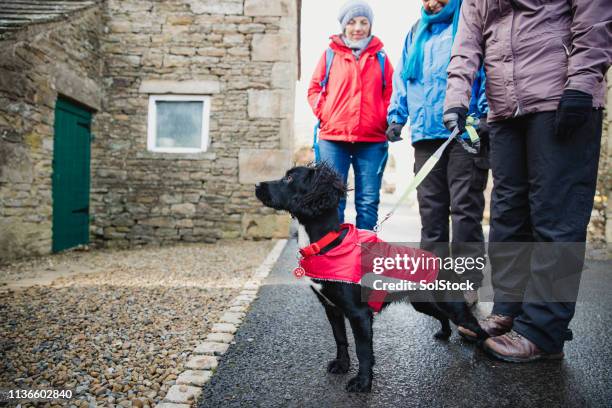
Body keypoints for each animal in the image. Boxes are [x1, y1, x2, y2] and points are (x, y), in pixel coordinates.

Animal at [255, 162, 488, 392]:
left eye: (289, 178)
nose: (256, 184)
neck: (328, 244)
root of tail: (442, 260)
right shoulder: (331, 307)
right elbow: (340, 338)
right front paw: (342, 365)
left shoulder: (359, 313)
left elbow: (363, 350)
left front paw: (363, 382)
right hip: (422, 303)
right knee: (442, 316)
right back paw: (445, 333)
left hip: (451, 304)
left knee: (476, 326)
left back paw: (481, 348)